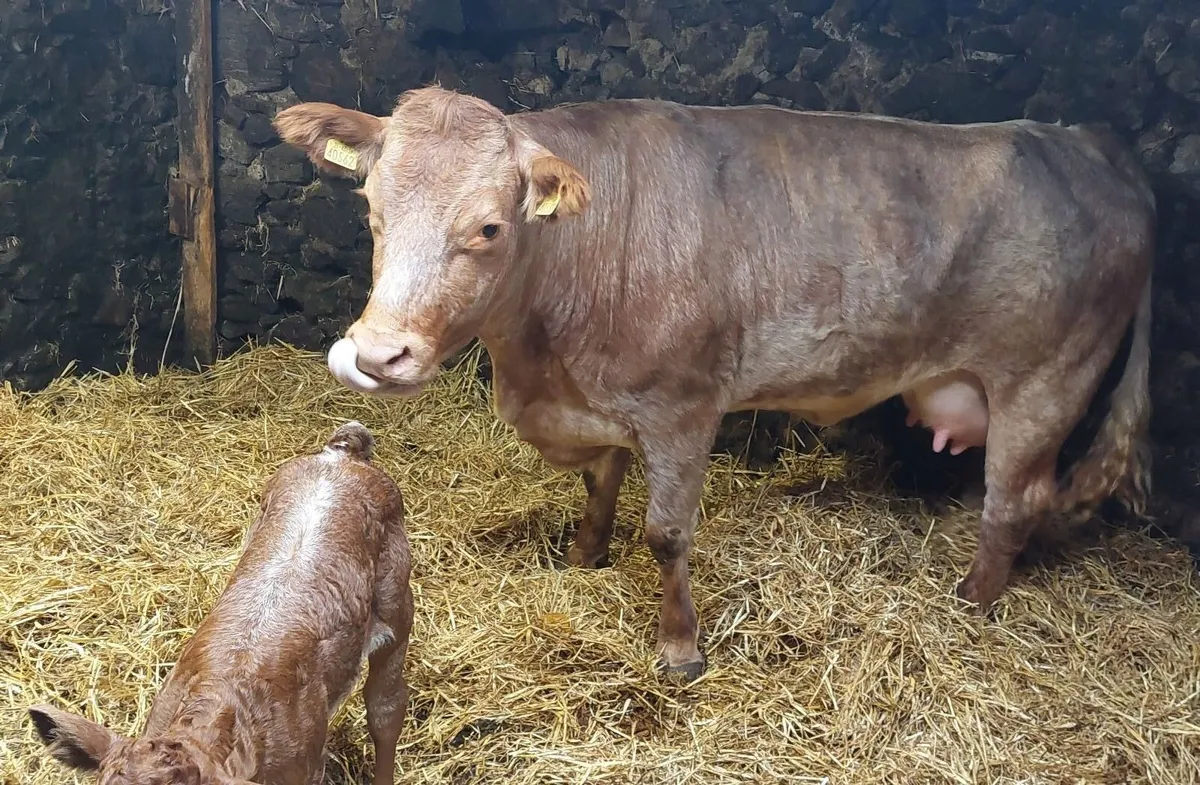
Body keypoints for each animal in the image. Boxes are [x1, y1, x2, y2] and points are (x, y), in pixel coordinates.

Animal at [273, 86, 1155, 681]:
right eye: (371, 209)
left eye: (489, 227)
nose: (377, 355)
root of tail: (1092, 144)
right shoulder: (597, 401)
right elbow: (600, 482)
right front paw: (584, 556)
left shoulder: (683, 405)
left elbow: (667, 533)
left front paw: (679, 648)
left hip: (1045, 380)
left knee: (1014, 501)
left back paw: (971, 601)